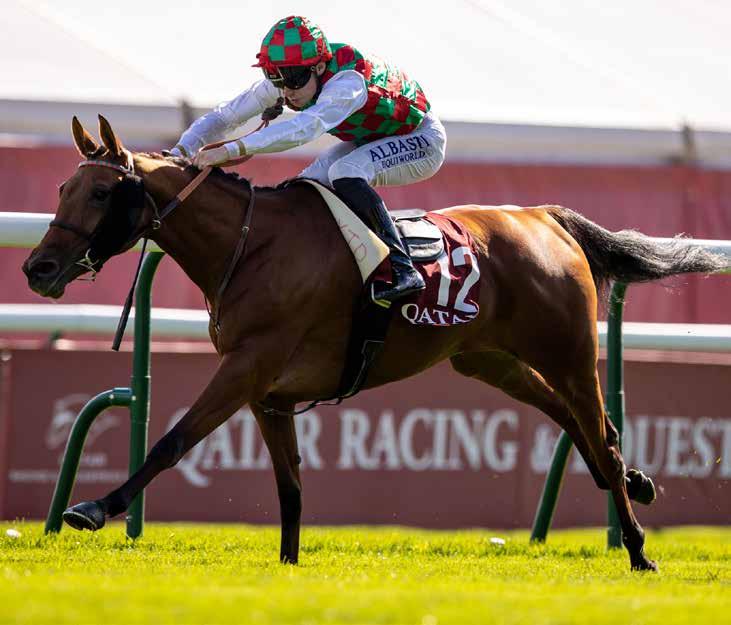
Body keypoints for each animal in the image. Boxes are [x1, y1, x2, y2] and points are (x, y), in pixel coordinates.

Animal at [23, 115, 726, 571]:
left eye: (102, 191)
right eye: (61, 188)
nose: (37, 267)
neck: (251, 246)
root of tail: (543, 217)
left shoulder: (247, 369)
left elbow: (172, 441)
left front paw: (94, 507)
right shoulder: (270, 394)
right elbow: (290, 484)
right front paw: (288, 564)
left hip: (569, 352)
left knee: (597, 428)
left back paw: (639, 549)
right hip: (488, 360)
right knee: (582, 424)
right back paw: (635, 482)